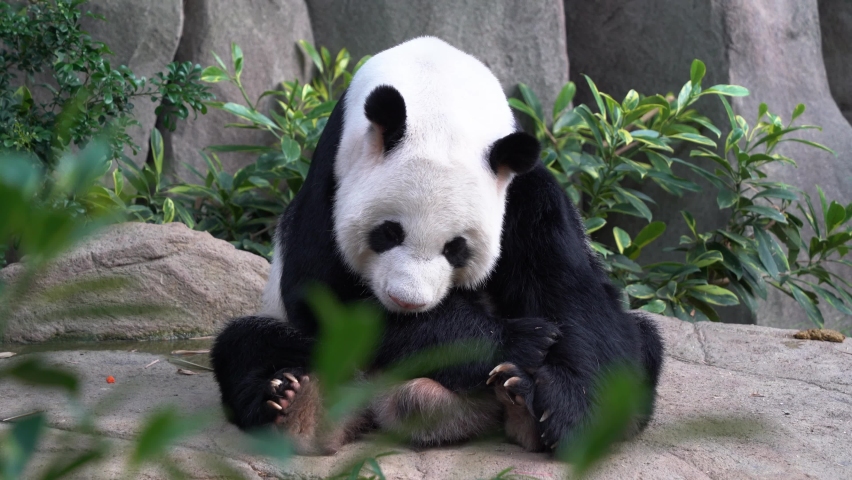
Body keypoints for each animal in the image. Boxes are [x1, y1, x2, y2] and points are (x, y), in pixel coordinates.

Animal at [211, 37, 664, 455]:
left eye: (456, 248)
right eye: (388, 233)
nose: (406, 302)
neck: (438, 97)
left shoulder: (525, 193)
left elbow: (570, 294)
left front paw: (565, 409)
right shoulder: (333, 177)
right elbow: (324, 294)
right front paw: (519, 339)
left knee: (642, 344)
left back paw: (521, 402)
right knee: (248, 345)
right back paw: (291, 402)